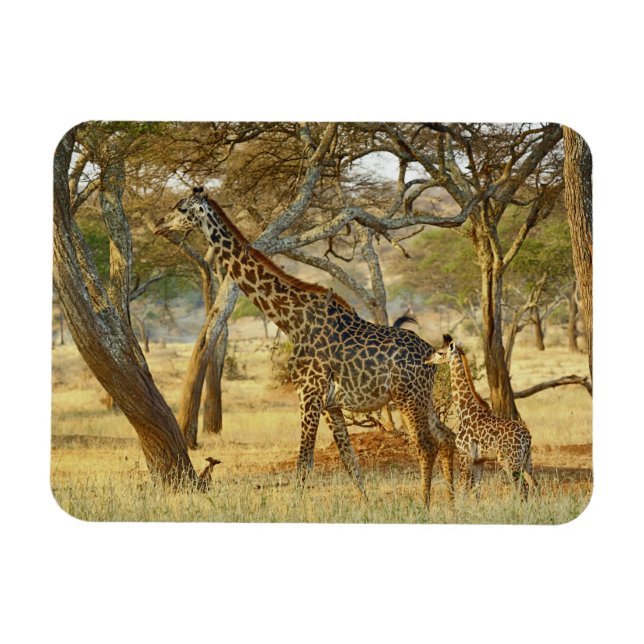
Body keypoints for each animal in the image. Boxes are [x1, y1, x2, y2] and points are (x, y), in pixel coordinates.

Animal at [154, 187, 455, 507]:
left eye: (181, 208)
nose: (158, 224)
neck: (290, 319)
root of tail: (432, 356)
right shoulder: (330, 403)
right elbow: (350, 461)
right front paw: (366, 504)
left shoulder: (308, 394)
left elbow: (304, 463)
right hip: (423, 398)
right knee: (447, 437)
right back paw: (452, 500)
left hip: (408, 397)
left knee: (426, 445)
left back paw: (425, 504)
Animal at [426, 335, 534, 500]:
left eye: (440, 352)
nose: (427, 360)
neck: (464, 410)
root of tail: (527, 437)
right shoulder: (479, 461)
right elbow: (475, 491)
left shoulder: (465, 455)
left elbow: (462, 489)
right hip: (527, 460)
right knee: (534, 485)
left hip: (510, 461)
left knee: (523, 488)